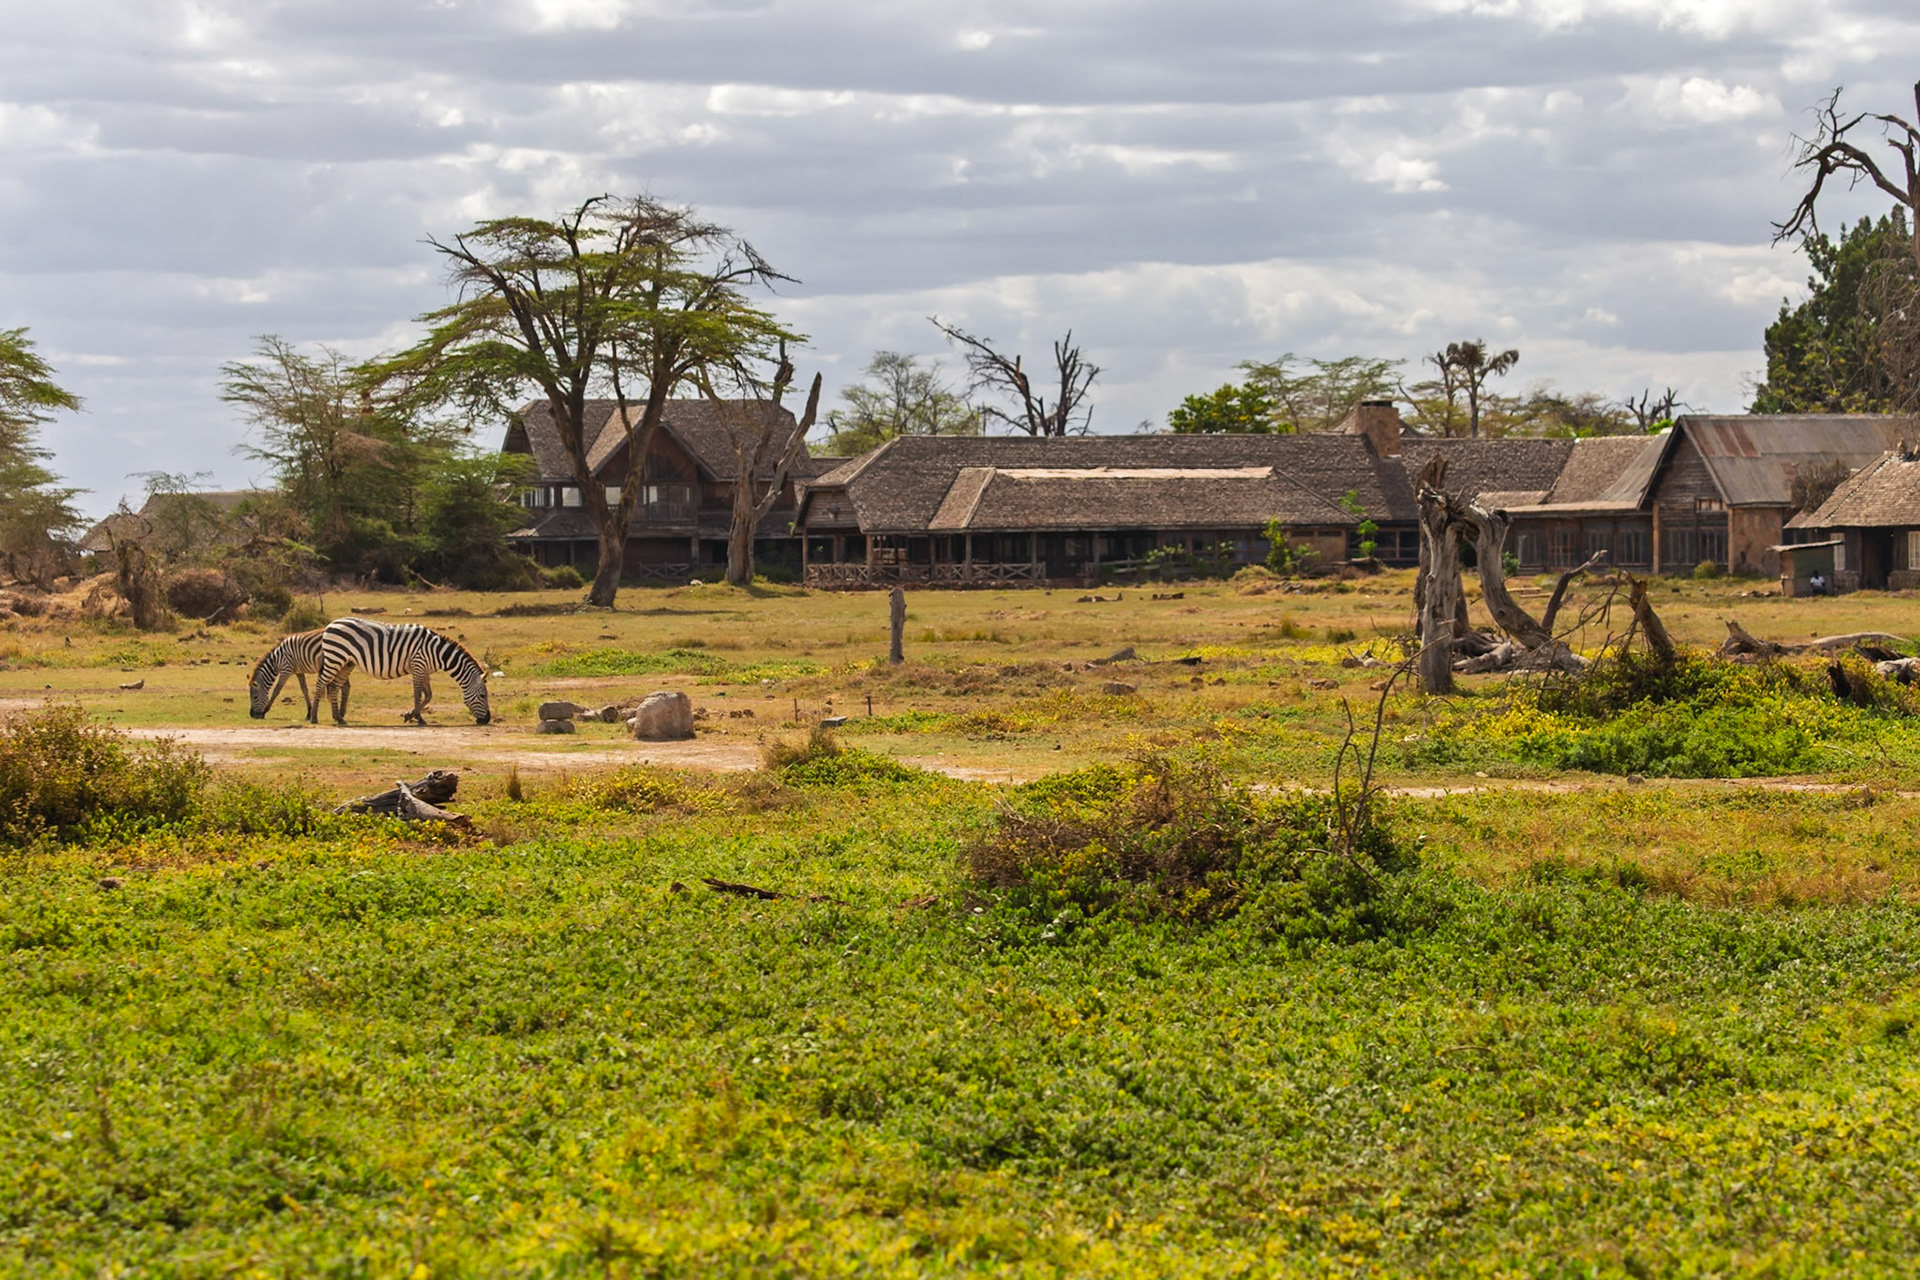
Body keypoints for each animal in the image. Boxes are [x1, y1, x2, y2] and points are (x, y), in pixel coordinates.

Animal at [317, 617, 491, 725]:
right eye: (483, 696)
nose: (487, 719)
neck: (437, 652)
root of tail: (331, 624)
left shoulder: (425, 671)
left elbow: (428, 695)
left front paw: (410, 715)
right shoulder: (418, 665)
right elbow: (418, 694)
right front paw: (419, 718)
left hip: (346, 663)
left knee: (334, 687)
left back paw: (338, 718)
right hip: (335, 657)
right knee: (320, 684)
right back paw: (314, 717)